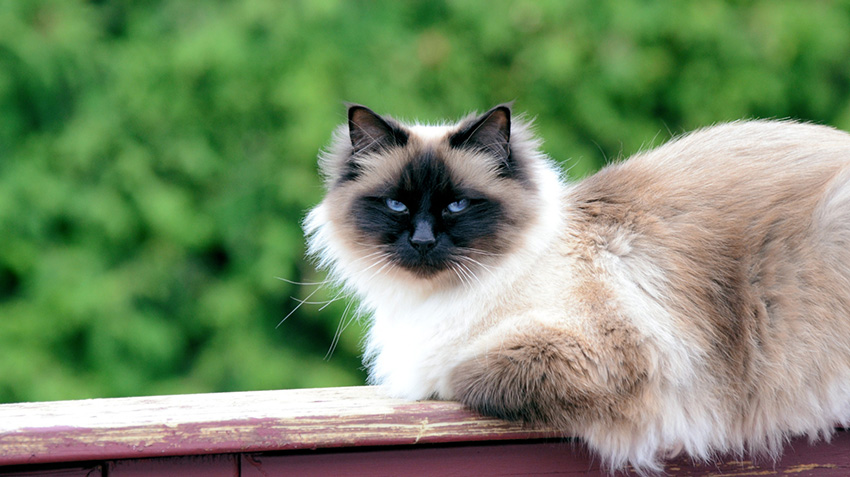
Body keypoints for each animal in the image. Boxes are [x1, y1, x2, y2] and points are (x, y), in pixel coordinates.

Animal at [304, 102, 848, 470]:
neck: (434, 301)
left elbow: (460, 374)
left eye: (456, 205)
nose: (421, 241)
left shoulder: (600, 348)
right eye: (396, 205)